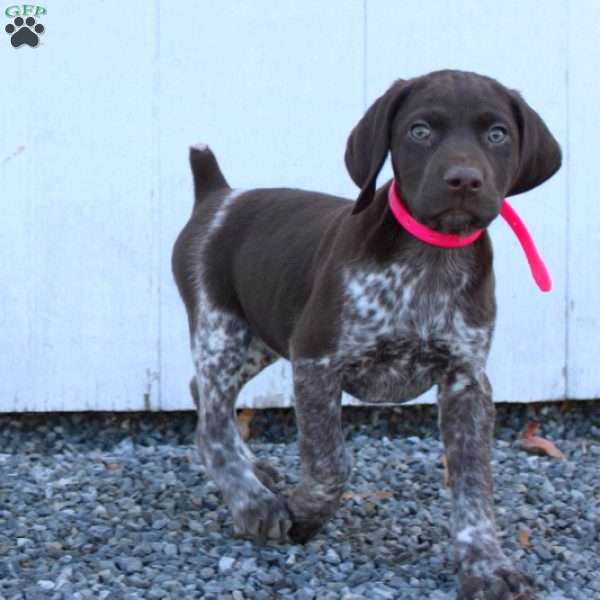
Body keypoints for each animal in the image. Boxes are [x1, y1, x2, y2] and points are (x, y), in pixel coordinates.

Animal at [172, 71, 564, 600]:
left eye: (497, 134)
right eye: (420, 131)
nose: (463, 180)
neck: (431, 258)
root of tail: (218, 195)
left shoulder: (467, 381)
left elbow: (473, 484)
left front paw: (485, 564)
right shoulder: (316, 360)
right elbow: (331, 463)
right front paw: (303, 512)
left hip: (260, 336)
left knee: (203, 393)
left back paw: (254, 470)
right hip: (222, 327)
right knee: (209, 425)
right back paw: (254, 501)